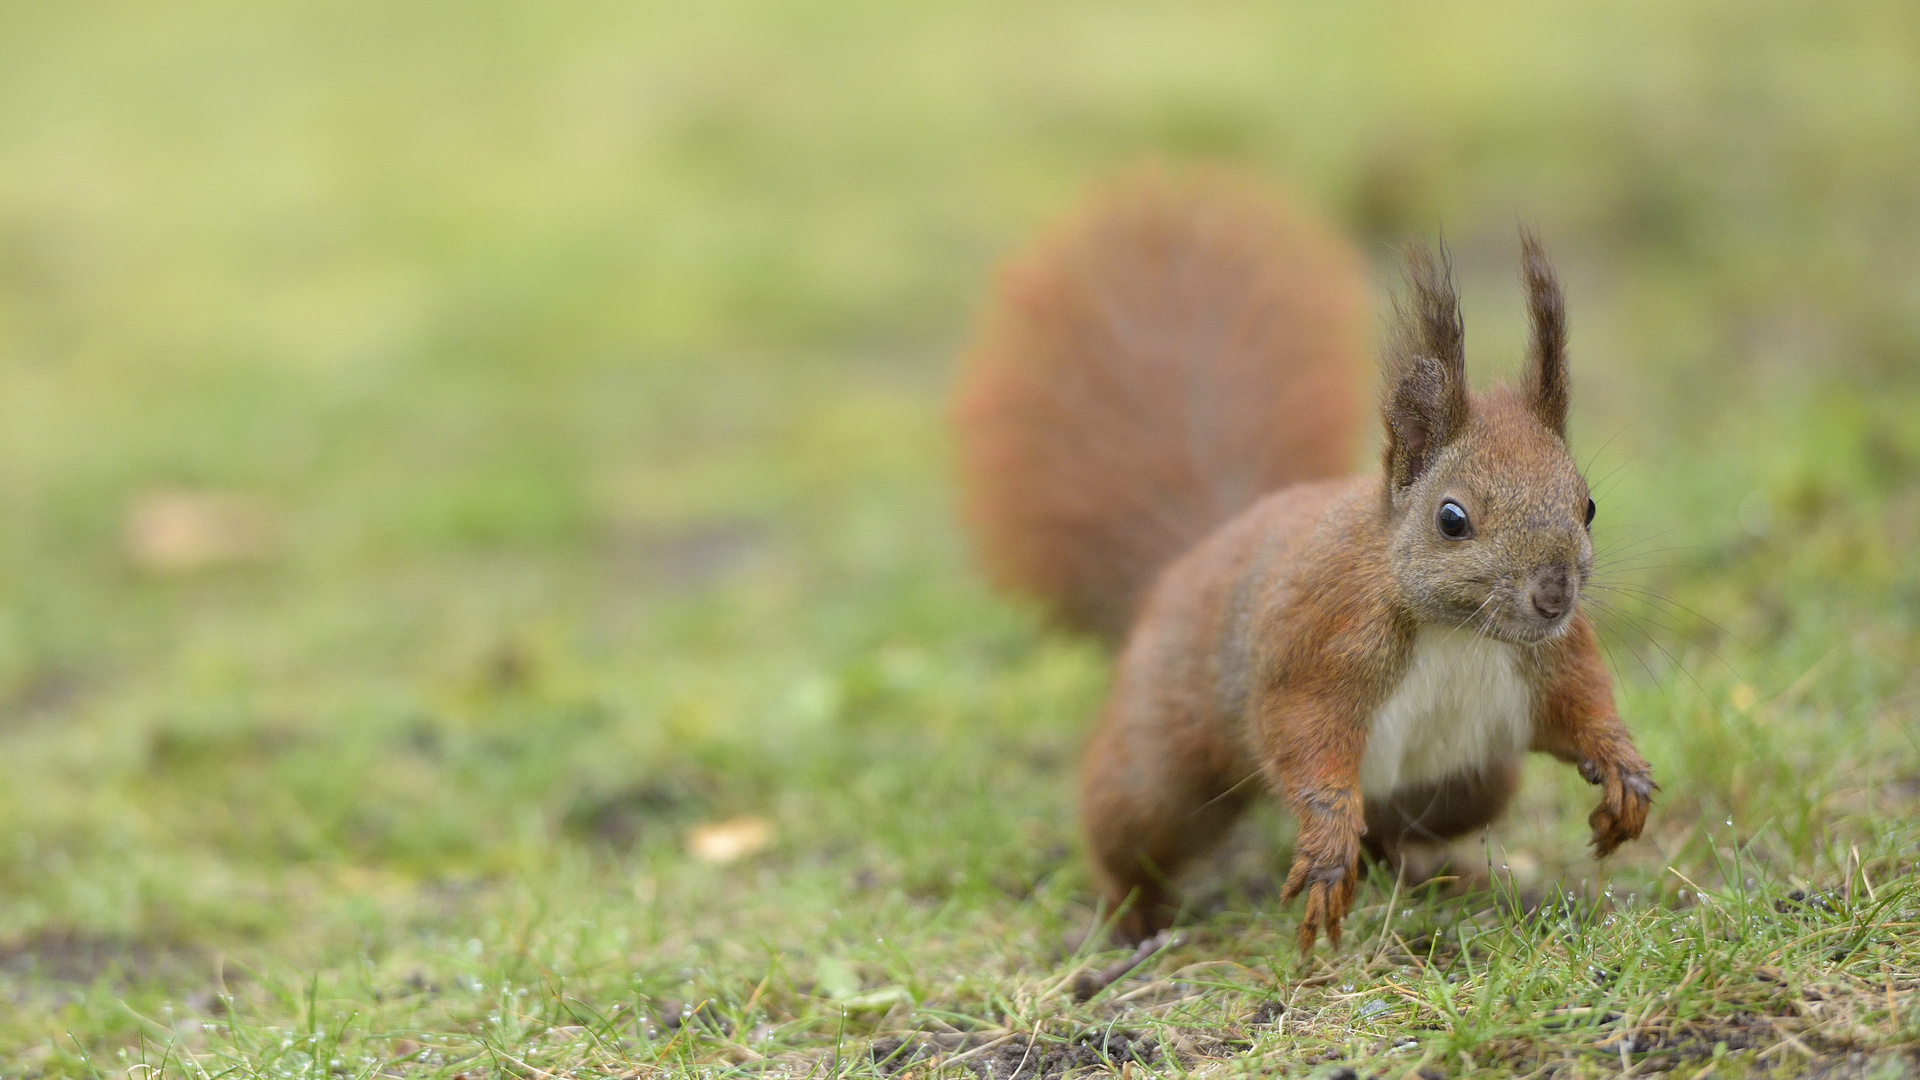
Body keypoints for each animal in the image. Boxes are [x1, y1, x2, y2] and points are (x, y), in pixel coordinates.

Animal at [952, 164, 1658, 945]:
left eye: (1586, 506)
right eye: (1452, 519)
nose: (1554, 594)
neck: (1457, 631)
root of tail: (1194, 553)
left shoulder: (1553, 657)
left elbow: (1583, 705)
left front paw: (1624, 769)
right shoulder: (1317, 643)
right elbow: (1303, 743)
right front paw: (1323, 848)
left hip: (1472, 783)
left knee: (1396, 830)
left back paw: (1433, 871)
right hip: (1160, 762)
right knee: (1132, 828)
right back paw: (1134, 915)